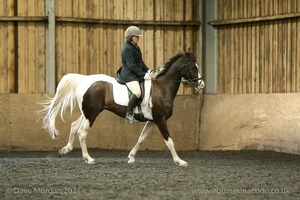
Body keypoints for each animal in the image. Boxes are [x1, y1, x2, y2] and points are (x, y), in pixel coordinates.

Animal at [40, 48, 204, 167]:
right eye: (192, 67)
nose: (202, 84)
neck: (162, 89)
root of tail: (84, 80)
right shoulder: (160, 120)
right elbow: (169, 141)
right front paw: (180, 161)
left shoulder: (152, 120)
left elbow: (141, 139)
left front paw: (131, 157)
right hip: (91, 114)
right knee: (82, 132)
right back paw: (89, 158)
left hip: (87, 113)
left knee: (74, 126)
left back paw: (65, 150)